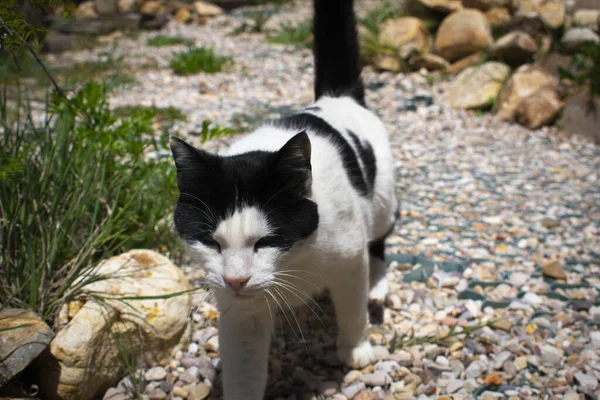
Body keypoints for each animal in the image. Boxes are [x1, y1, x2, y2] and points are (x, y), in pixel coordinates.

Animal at [171, 1, 398, 398]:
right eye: (211, 242)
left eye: (268, 240)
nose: (236, 280)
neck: (294, 263)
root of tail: (336, 98)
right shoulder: (240, 311)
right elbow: (243, 366)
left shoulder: (349, 260)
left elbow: (352, 307)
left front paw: (356, 347)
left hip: (383, 199)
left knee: (380, 238)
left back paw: (378, 284)